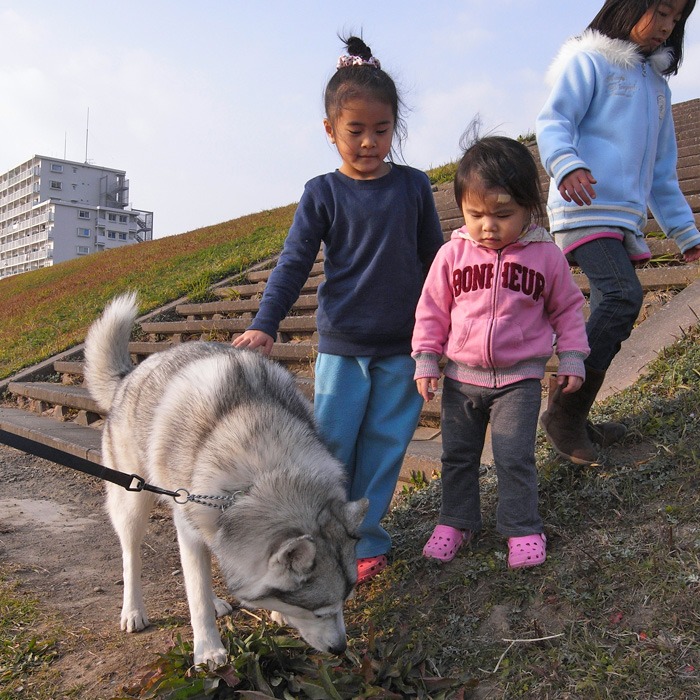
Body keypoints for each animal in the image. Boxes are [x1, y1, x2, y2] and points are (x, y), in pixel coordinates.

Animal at [83, 294, 366, 668]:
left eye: (344, 601)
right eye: (318, 611)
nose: (341, 649)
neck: (264, 469)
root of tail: (129, 375)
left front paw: (275, 613)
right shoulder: (190, 523)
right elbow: (196, 596)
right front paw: (208, 650)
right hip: (133, 499)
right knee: (132, 556)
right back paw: (133, 610)